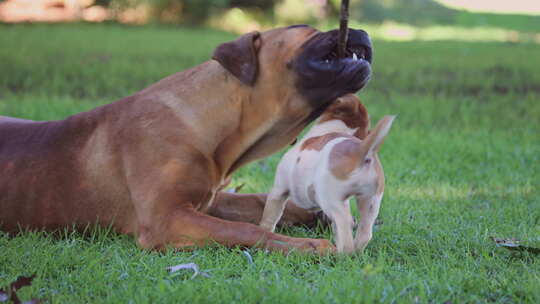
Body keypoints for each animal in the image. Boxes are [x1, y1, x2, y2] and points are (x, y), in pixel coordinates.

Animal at [0, 25, 372, 254]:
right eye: (304, 27)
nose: (365, 31)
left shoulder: (208, 200)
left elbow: (256, 201)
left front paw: (314, 215)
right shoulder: (168, 218)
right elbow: (246, 230)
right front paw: (305, 246)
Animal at [260, 94, 394, 252]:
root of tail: (360, 151)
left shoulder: (278, 191)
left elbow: (269, 218)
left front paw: (263, 231)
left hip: (331, 200)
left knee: (345, 226)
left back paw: (341, 252)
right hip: (371, 201)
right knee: (364, 233)